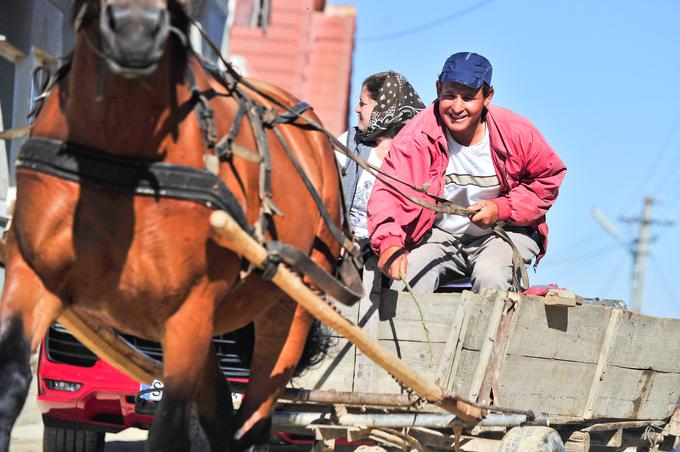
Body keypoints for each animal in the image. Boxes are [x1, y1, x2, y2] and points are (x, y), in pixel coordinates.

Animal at [0, 0, 342, 452]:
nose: (135, 30)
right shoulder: (34, 273)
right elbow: (10, 385)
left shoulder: (189, 307)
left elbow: (169, 427)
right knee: (222, 411)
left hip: (289, 304)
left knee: (256, 410)